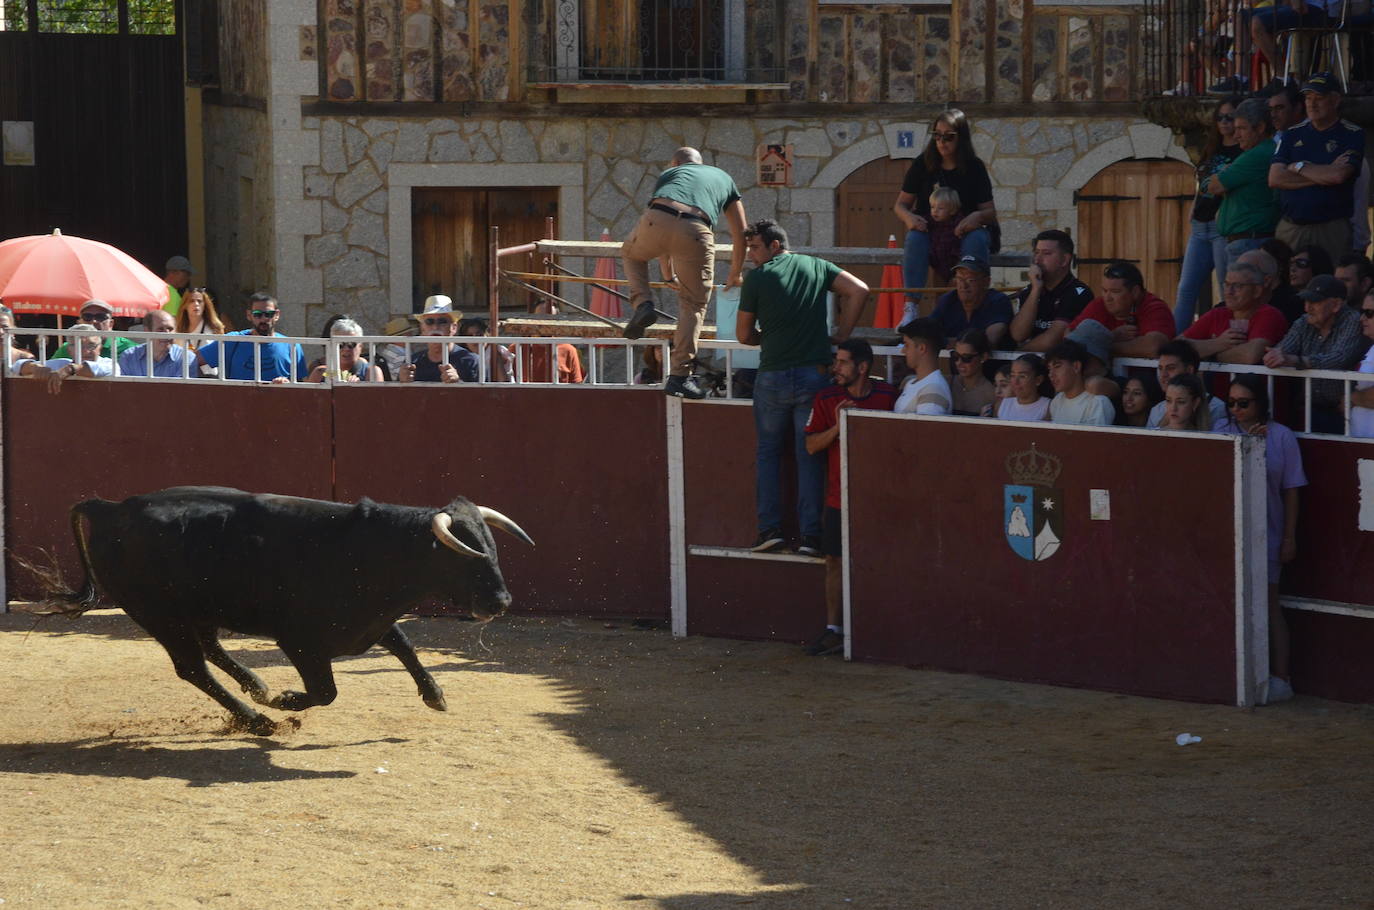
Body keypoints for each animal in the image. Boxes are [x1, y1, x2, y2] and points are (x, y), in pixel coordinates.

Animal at [65, 489, 535, 736]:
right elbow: (325, 692)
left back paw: (257, 688)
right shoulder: (300, 642)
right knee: (192, 668)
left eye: (491, 547)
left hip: (198, 612)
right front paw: (288, 700)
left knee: (211, 651)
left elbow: (405, 645)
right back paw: (258, 718)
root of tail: (110, 509)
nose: (500, 603)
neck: (369, 552)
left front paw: (435, 695)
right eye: (462, 558)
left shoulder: (371, 623)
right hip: (159, 616)